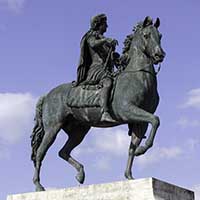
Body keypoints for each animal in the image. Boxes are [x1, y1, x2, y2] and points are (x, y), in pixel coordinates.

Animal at [30, 16, 166, 191]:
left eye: (160, 35)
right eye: (146, 35)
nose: (159, 55)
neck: (138, 77)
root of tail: (47, 96)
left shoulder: (139, 121)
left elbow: (133, 145)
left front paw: (130, 174)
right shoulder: (128, 111)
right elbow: (155, 120)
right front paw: (142, 149)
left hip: (79, 131)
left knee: (63, 152)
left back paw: (80, 174)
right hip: (53, 128)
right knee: (40, 153)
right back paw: (39, 186)